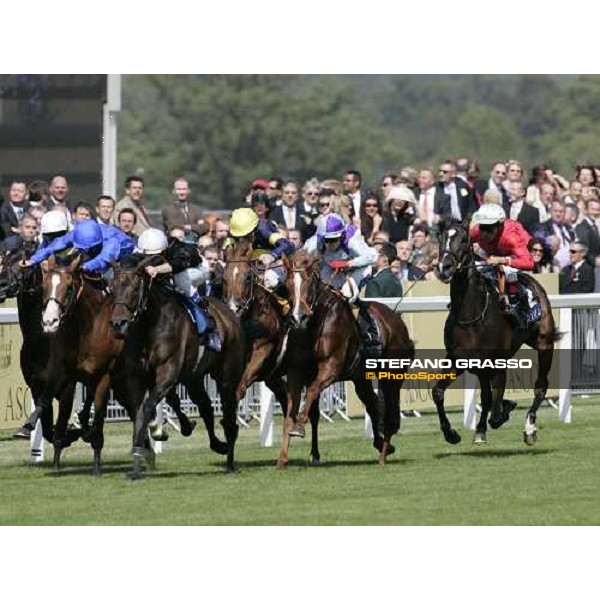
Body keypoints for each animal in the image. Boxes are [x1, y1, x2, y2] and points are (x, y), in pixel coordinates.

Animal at [111, 253, 245, 478]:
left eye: (135, 288)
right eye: (111, 287)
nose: (118, 324)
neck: (150, 324)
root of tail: (231, 315)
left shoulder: (168, 372)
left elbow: (148, 406)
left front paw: (143, 446)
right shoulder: (137, 376)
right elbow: (139, 410)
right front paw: (139, 459)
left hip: (226, 379)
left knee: (229, 418)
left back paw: (230, 462)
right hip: (194, 378)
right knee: (206, 406)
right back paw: (216, 444)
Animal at [278, 248, 414, 468]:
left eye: (308, 283)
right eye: (288, 284)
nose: (298, 317)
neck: (315, 325)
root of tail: (397, 321)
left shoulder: (331, 367)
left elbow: (312, 391)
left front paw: (299, 427)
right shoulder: (296, 371)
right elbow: (291, 411)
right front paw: (282, 458)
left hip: (392, 376)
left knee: (390, 412)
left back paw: (383, 453)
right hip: (361, 378)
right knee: (373, 404)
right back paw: (381, 445)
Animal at [434, 220, 560, 446]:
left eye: (464, 239)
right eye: (440, 238)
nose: (444, 268)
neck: (472, 315)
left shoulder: (497, 362)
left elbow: (495, 408)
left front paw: (507, 408)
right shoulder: (458, 359)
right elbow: (438, 392)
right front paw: (451, 433)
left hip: (544, 344)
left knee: (540, 386)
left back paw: (529, 427)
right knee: (486, 396)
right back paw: (481, 429)